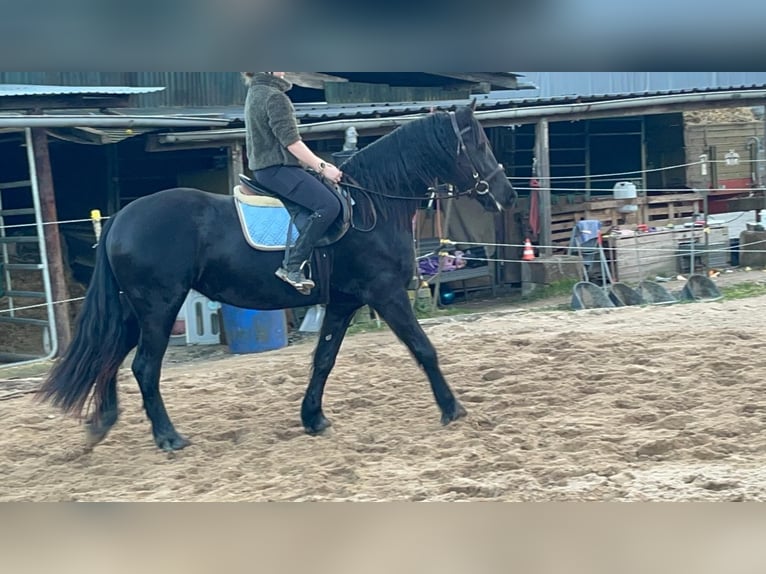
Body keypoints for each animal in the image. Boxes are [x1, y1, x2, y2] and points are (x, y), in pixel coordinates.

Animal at [38, 103, 517, 451]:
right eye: (478, 145)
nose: (508, 195)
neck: (372, 204)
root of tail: (122, 217)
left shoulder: (344, 301)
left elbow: (324, 360)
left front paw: (313, 418)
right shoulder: (386, 294)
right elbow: (424, 349)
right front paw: (452, 409)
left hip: (134, 309)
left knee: (109, 356)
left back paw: (102, 424)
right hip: (158, 307)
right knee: (142, 367)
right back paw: (168, 437)